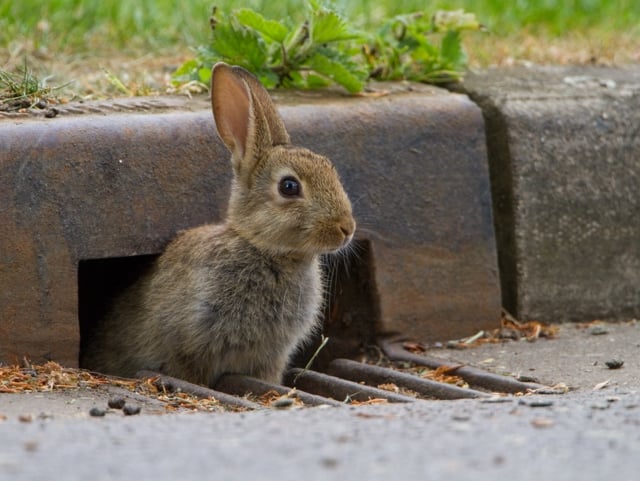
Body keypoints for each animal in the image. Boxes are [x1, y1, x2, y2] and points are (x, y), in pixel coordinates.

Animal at [80, 62, 358, 386]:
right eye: (289, 187)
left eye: (330, 168)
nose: (346, 228)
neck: (265, 250)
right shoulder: (190, 348)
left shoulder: (270, 358)